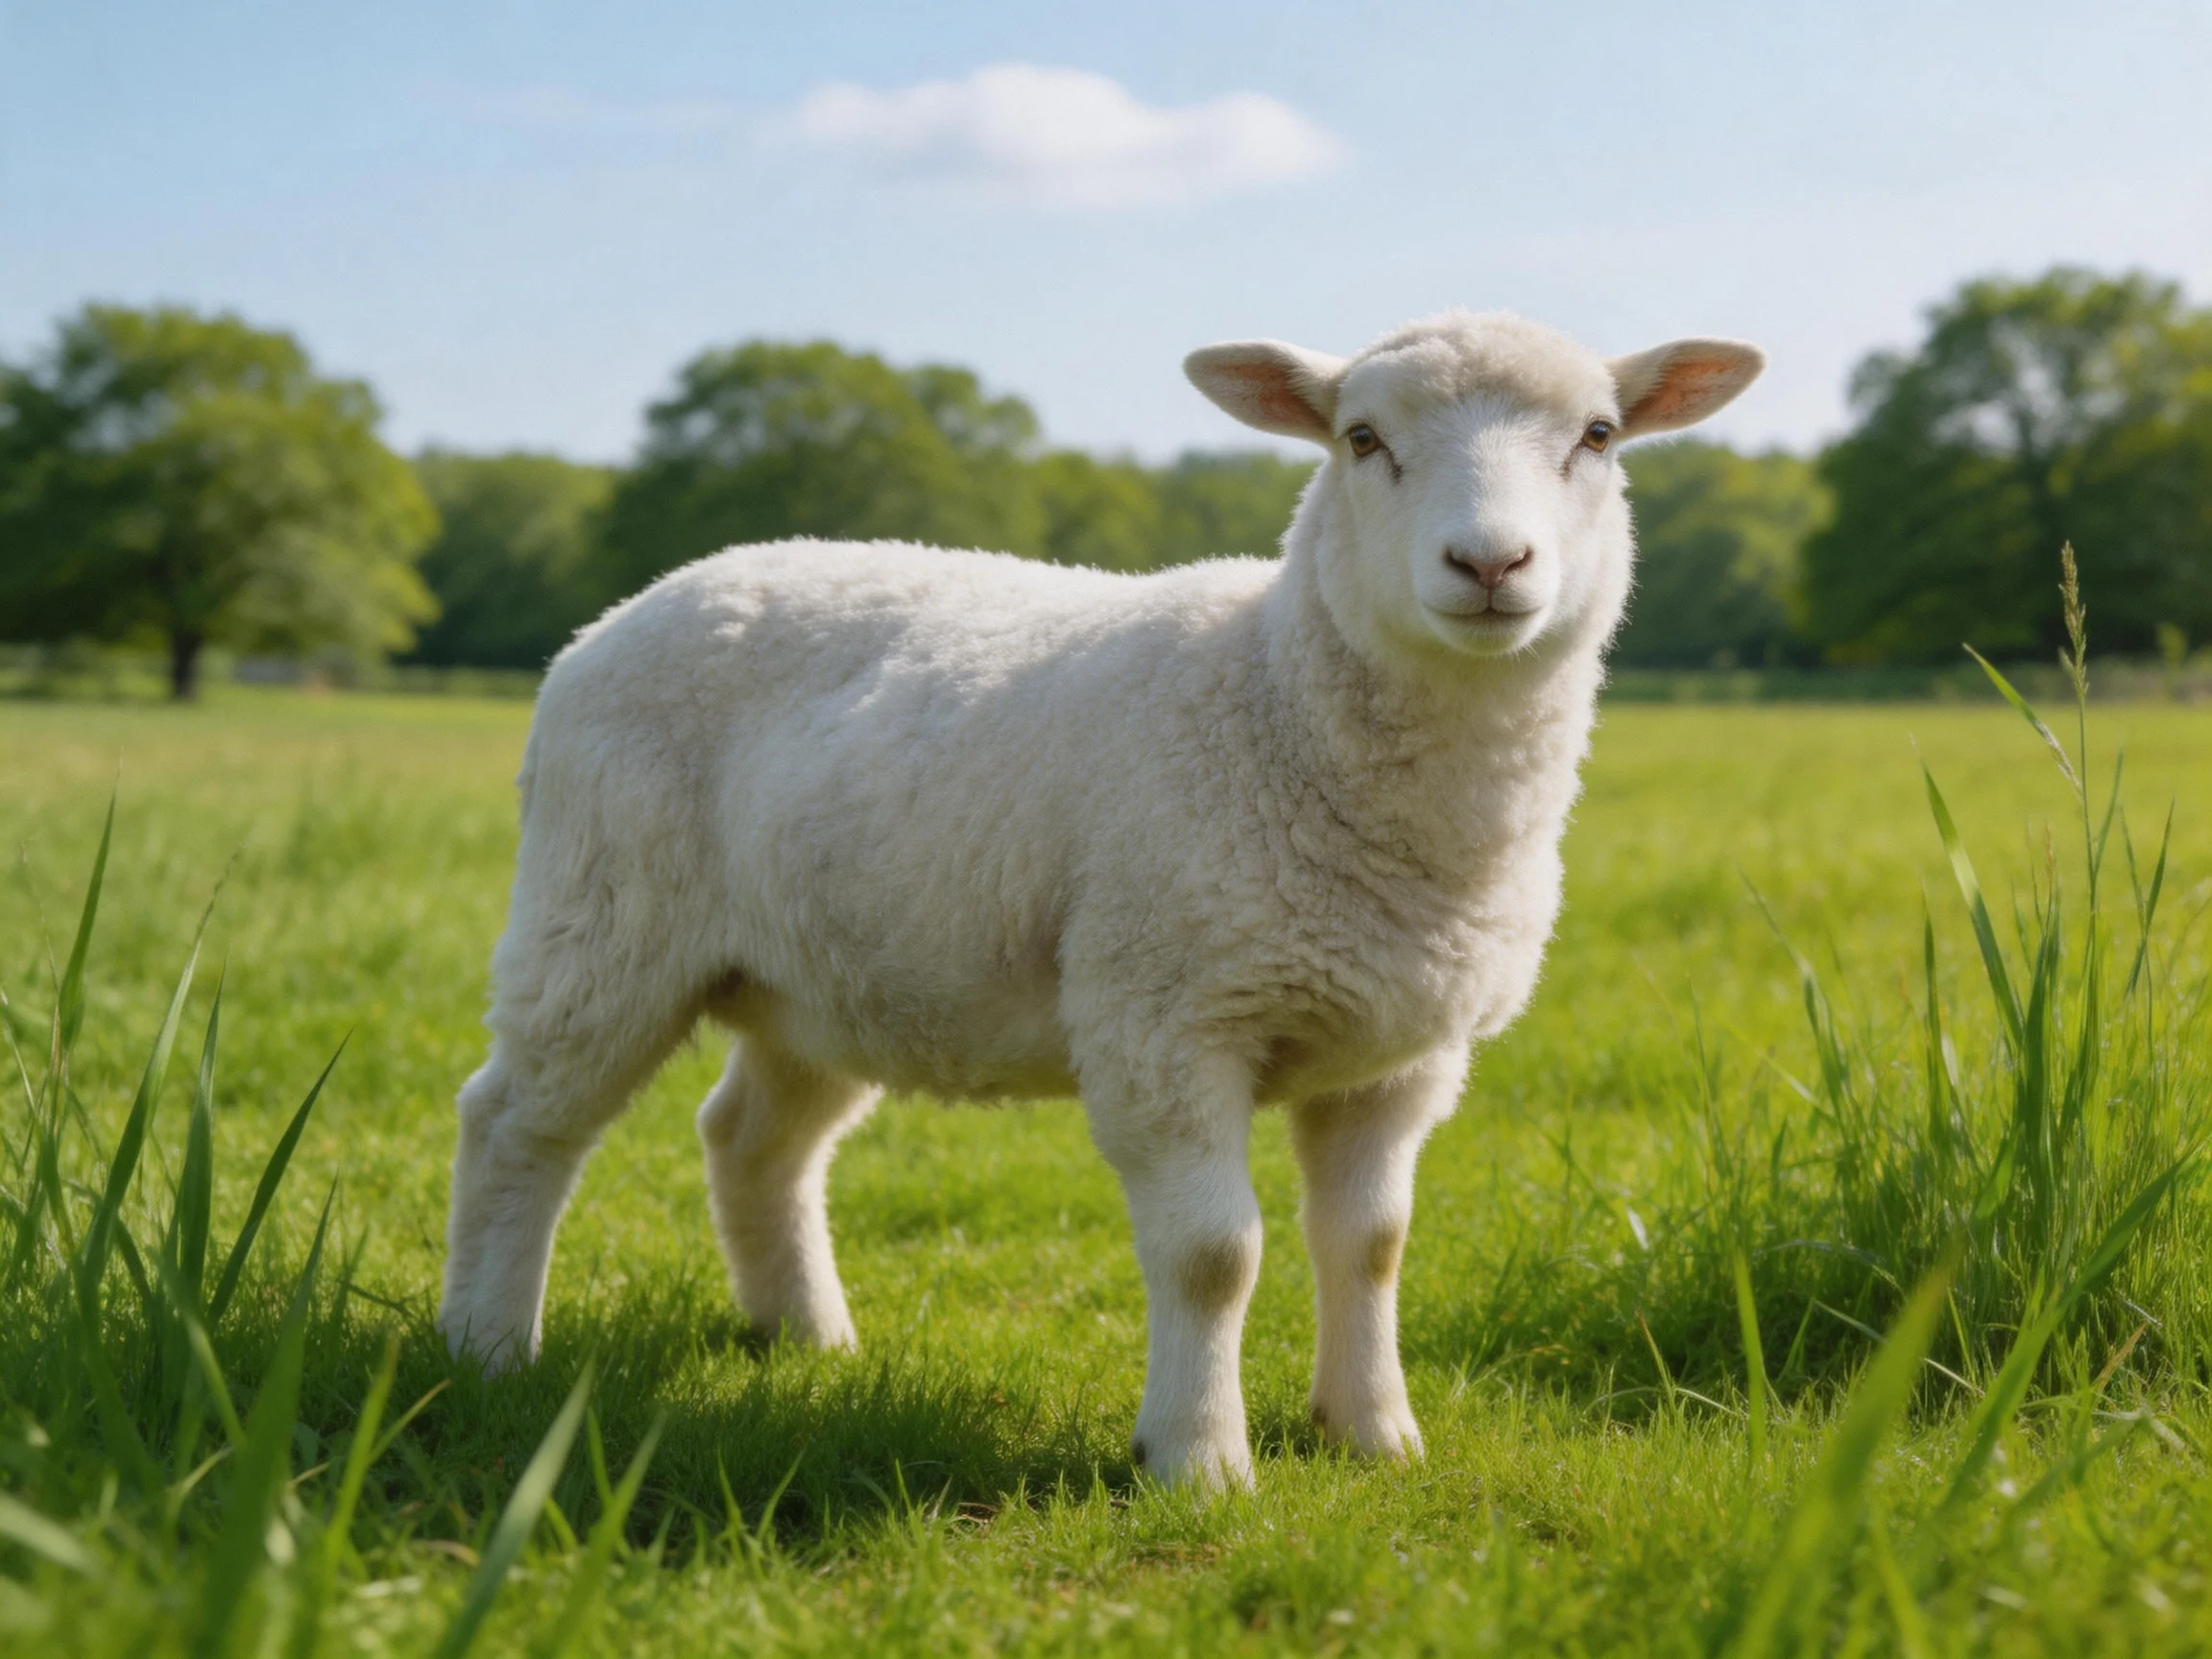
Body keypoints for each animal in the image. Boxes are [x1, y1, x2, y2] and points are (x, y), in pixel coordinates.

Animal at [437, 309, 1763, 1487]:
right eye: (1361, 438)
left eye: (1599, 435)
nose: (1490, 565)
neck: (1275, 699)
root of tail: (633, 608)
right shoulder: (1165, 1014)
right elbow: (1213, 1255)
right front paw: (1198, 1461)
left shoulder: (1402, 1054)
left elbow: (1372, 1247)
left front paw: (1374, 1436)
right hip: (601, 914)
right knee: (515, 1123)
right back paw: (488, 1348)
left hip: (821, 969)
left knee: (754, 1138)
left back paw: (805, 1339)